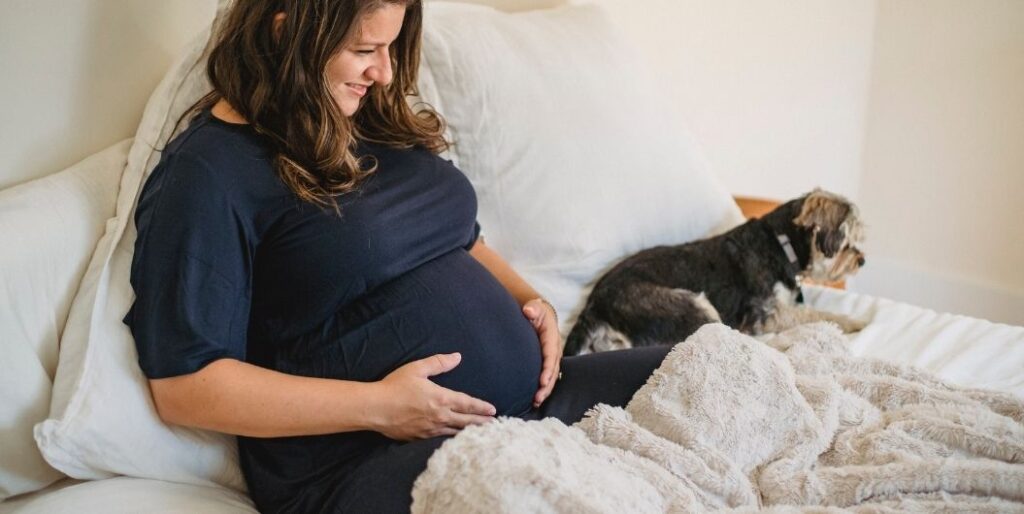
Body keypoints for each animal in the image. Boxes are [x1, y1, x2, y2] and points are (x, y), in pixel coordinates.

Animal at [565, 186, 868, 356]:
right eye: (847, 242)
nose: (862, 261)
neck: (781, 244)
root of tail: (594, 304)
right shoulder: (766, 313)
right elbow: (814, 313)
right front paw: (854, 321)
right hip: (688, 306)